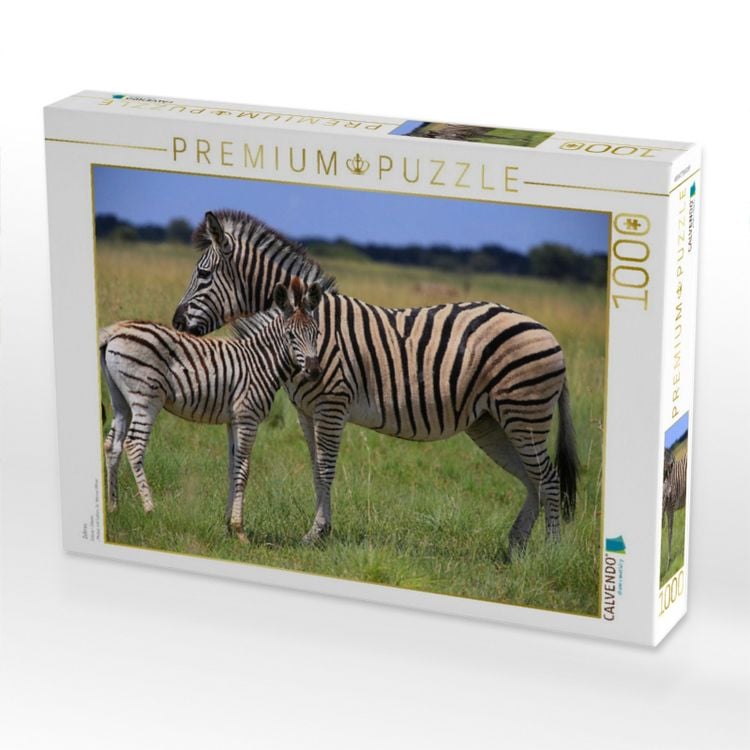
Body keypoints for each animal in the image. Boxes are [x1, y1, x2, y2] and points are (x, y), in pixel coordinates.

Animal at [100, 277, 323, 540]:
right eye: (290, 335)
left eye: (317, 333)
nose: (314, 371)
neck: (261, 362)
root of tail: (114, 332)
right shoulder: (247, 417)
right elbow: (244, 469)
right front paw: (239, 529)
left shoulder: (233, 419)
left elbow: (233, 466)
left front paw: (228, 524)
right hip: (145, 397)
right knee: (134, 444)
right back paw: (149, 509)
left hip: (120, 400)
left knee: (112, 444)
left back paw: (113, 507)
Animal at [172, 209, 579, 554]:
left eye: (203, 275)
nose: (176, 322)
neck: (306, 327)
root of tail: (548, 332)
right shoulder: (306, 411)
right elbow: (315, 469)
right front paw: (321, 530)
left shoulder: (332, 405)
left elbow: (326, 467)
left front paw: (317, 534)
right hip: (490, 422)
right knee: (532, 478)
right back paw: (515, 548)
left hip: (524, 414)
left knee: (549, 478)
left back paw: (551, 553)